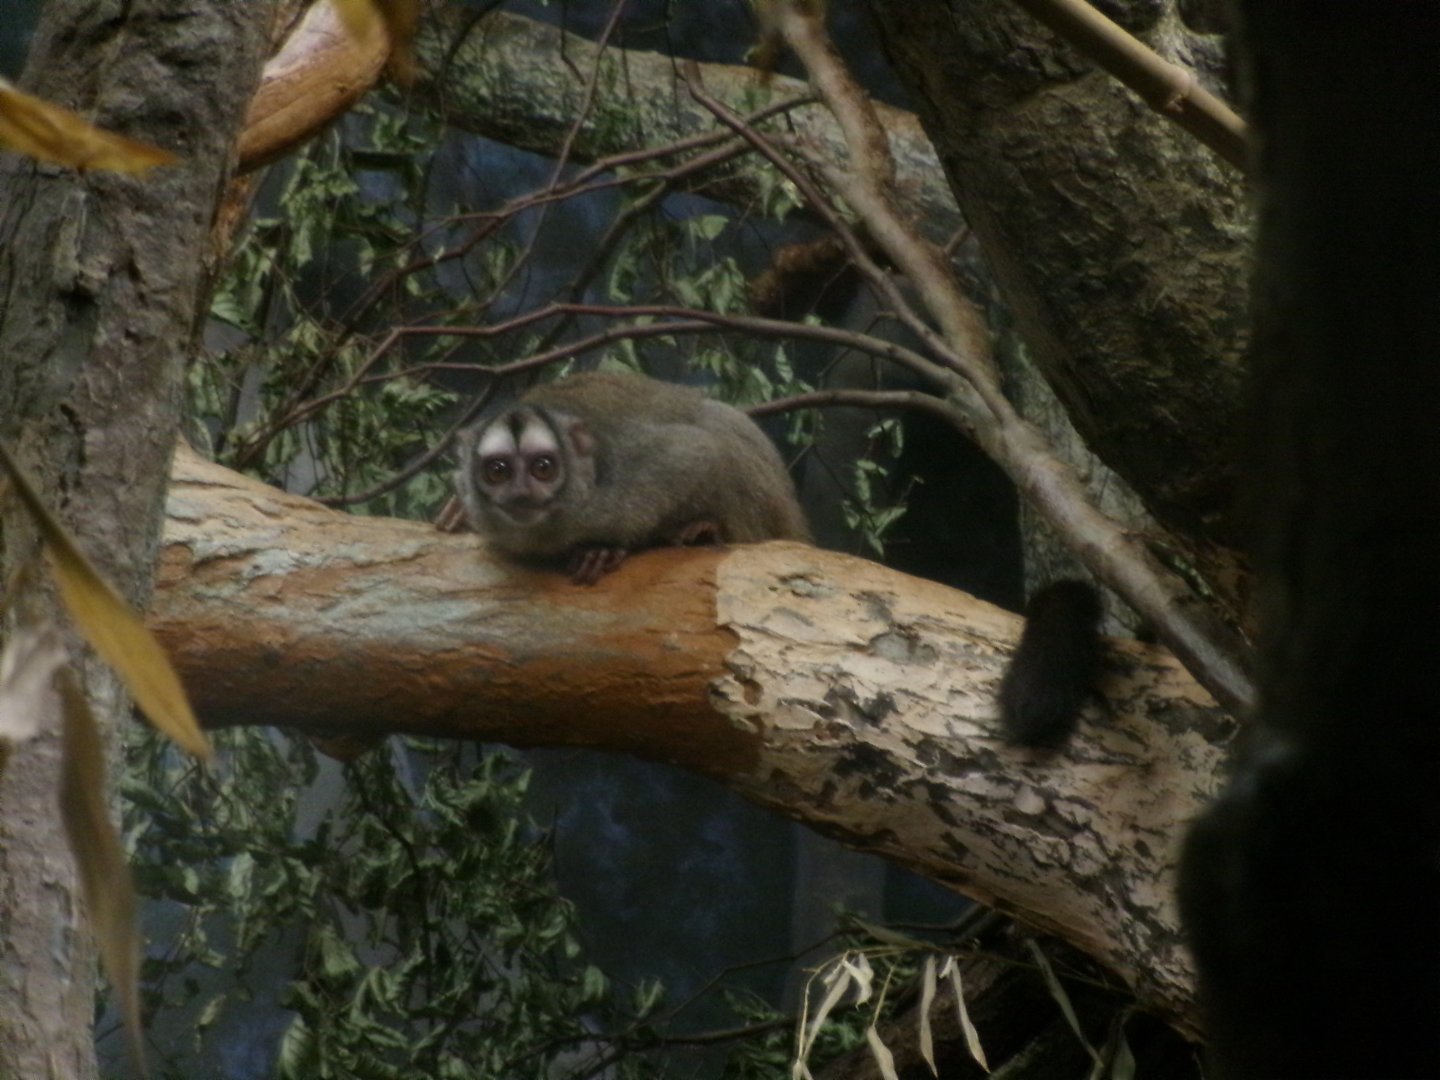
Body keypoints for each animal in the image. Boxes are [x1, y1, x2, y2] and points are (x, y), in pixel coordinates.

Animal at [454, 371, 811, 584]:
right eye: (497, 471)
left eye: (543, 467)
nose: (521, 492)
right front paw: (454, 515)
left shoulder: (621, 487)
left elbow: (698, 450)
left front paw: (603, 549)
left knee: (716, 421)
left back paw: (706, 530)